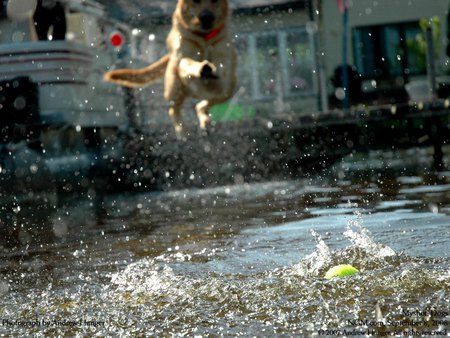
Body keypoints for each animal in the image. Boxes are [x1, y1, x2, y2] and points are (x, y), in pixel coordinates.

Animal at [103, 0, 237, 138]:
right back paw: (182, 132)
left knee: (201, 105)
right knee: (173, 109)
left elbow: (222, 63)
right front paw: (201, 67)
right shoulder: (182, 56)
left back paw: (205, 120)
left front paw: (213, 68)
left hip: (229, 90)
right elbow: (188, 62)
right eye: (196, 1)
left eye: (215, 1)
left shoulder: (224, 55)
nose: (206, 16)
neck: (203, 37)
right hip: (174, 86)